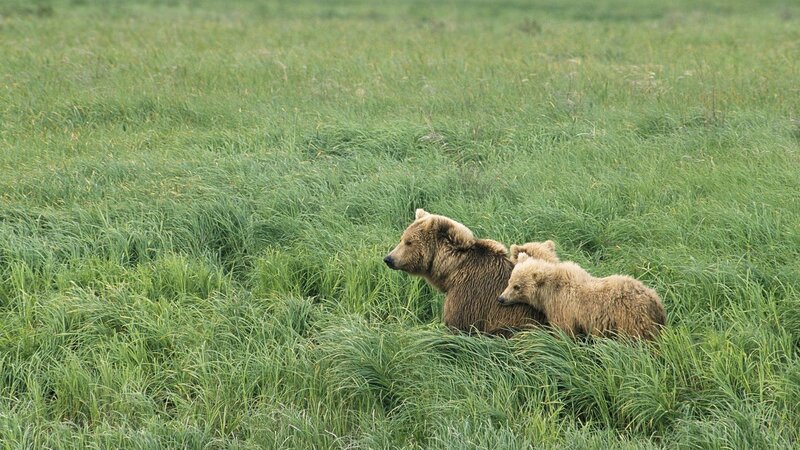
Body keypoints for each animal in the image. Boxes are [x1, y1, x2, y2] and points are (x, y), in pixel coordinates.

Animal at [384, 209, 545, 336]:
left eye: (409, 242)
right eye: (402, 239)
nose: (389, 259)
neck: (451, 270)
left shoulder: (469, 294)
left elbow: (459, 323)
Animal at [497, 253, 665, 340]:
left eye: (517, 287)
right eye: (510, 281)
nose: (501, 298)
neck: (547, 294)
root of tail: (655, 300)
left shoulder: (563, 308)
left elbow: (564, 331)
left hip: (631, 321)